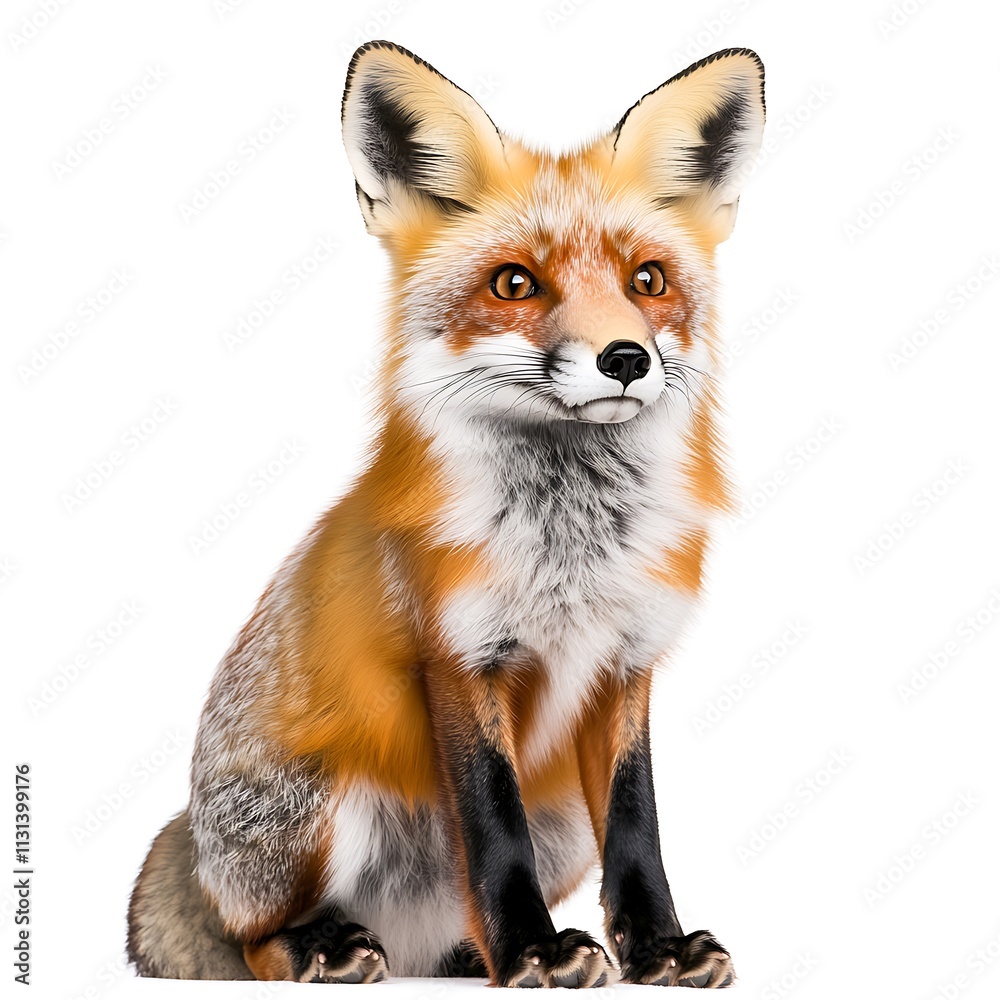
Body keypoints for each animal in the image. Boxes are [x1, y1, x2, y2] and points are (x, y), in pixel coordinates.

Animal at [126, 40, 765, 988]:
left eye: (647, 281)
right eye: (515, 283)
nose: (625, 358)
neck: (571, 545)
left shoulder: (628, 660)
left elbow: (637, 827)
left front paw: (655, 947)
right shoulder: (458, 655)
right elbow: (492, 828)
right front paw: (533, 949)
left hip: (558, 824)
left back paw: (465, 953)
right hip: (318, 807)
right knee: (251, 936)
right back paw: (329, 946)